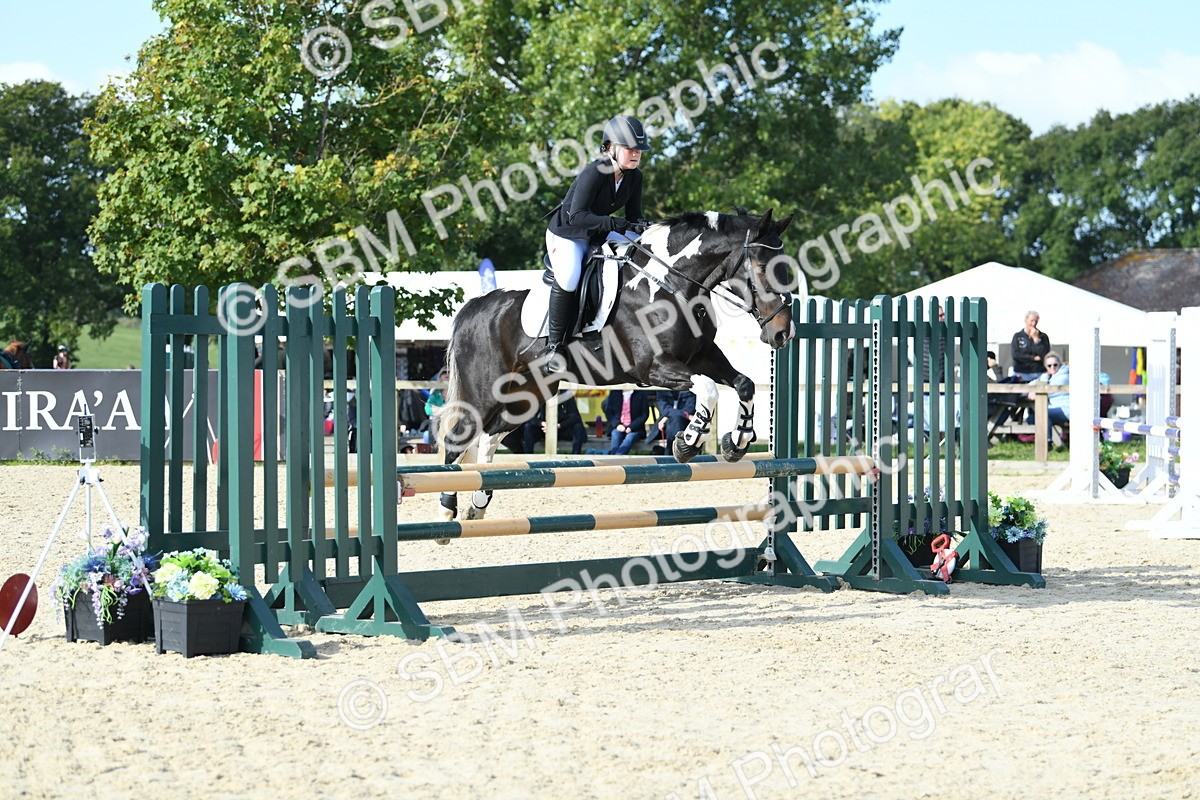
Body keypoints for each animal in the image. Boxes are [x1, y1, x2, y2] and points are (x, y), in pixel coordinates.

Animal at [436, 209, 796, 521]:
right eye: (762, 268)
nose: (783, 333)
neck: (669, 284)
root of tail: (476, 306)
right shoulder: (654, 367)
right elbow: (708, 390)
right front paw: (687, 442)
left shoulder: (704, 356)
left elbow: (743, 384)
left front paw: (738, 441)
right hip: (485, 392)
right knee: (459, 440)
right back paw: (447, 510)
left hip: (531, 393)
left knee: (490, 437)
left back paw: (478, 505)